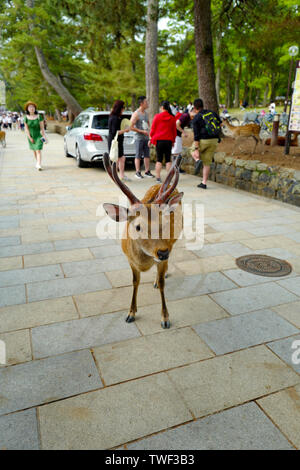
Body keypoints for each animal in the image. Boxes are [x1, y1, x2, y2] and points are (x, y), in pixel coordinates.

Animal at [102, 152, 183, 328]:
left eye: (164, 223)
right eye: (138, 227)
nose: (163, 252)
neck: (144, 262)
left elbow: (162, 282)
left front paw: (165, 318)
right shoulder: (130, 260)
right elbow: (135, 282)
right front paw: (130, 313)